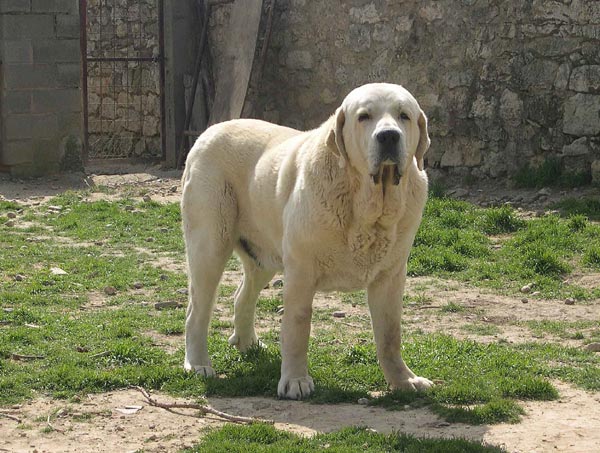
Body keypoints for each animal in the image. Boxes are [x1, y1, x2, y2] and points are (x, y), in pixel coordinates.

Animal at [180, 83, 434, 398]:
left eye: (404, 116)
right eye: (364, 116)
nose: (388, 136)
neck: (368, 205)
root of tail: (207, 132)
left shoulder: (390, 275)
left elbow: (390, 334)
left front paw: (404, 381)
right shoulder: (301, 270)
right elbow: (297, 326)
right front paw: (295, 380)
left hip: (263, 256)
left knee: (242, 296)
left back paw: (249, 344)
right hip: (210, 245)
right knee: (197, 311)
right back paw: (198, 363)